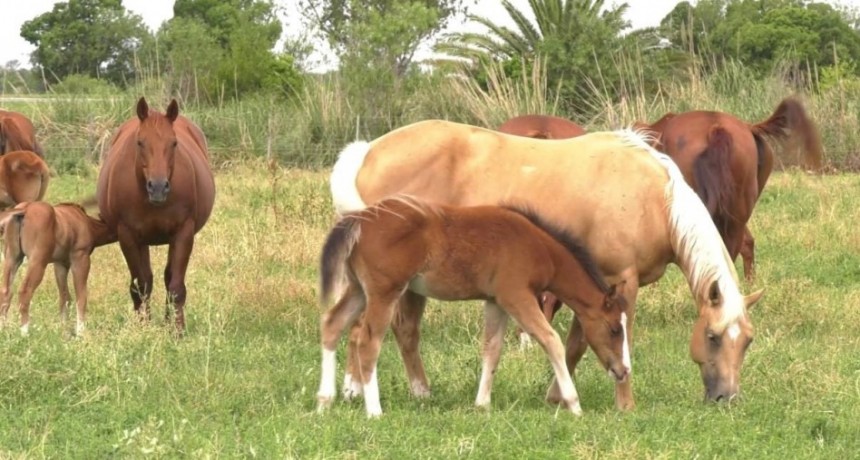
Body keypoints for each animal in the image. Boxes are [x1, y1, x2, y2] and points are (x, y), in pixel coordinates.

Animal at [0, 202, 116, 335]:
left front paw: (64, 329)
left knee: (6, 292)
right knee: (25, 291)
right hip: (37, 261)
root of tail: (24, 209)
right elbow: (81, 296)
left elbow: (64, 297)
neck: (87, 223)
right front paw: (80, 332)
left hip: (12, 258)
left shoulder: (60, 264)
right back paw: (25, 333)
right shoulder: (80, 258)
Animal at [96, 97, 215, 332]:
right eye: (140, 142)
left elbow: (176, 286)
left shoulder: (183, 233)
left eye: (174, 143)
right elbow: (140, 286)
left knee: (168, 278)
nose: (158, 187)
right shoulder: (128, 236)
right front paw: (143, 328)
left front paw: (177, 330)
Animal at [316, 196, 631, 418]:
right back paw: (374, 410)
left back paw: (324, 401)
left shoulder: (495, 301)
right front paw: (574, 404)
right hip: (384, 292)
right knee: (368, 341)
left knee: (332, 324)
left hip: (358, 289)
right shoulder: (516, 296)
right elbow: (551, 340)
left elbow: (491, 349)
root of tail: (358, 219)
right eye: (614, 329)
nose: (623, 370)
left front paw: (482, 404)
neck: (538, 246)